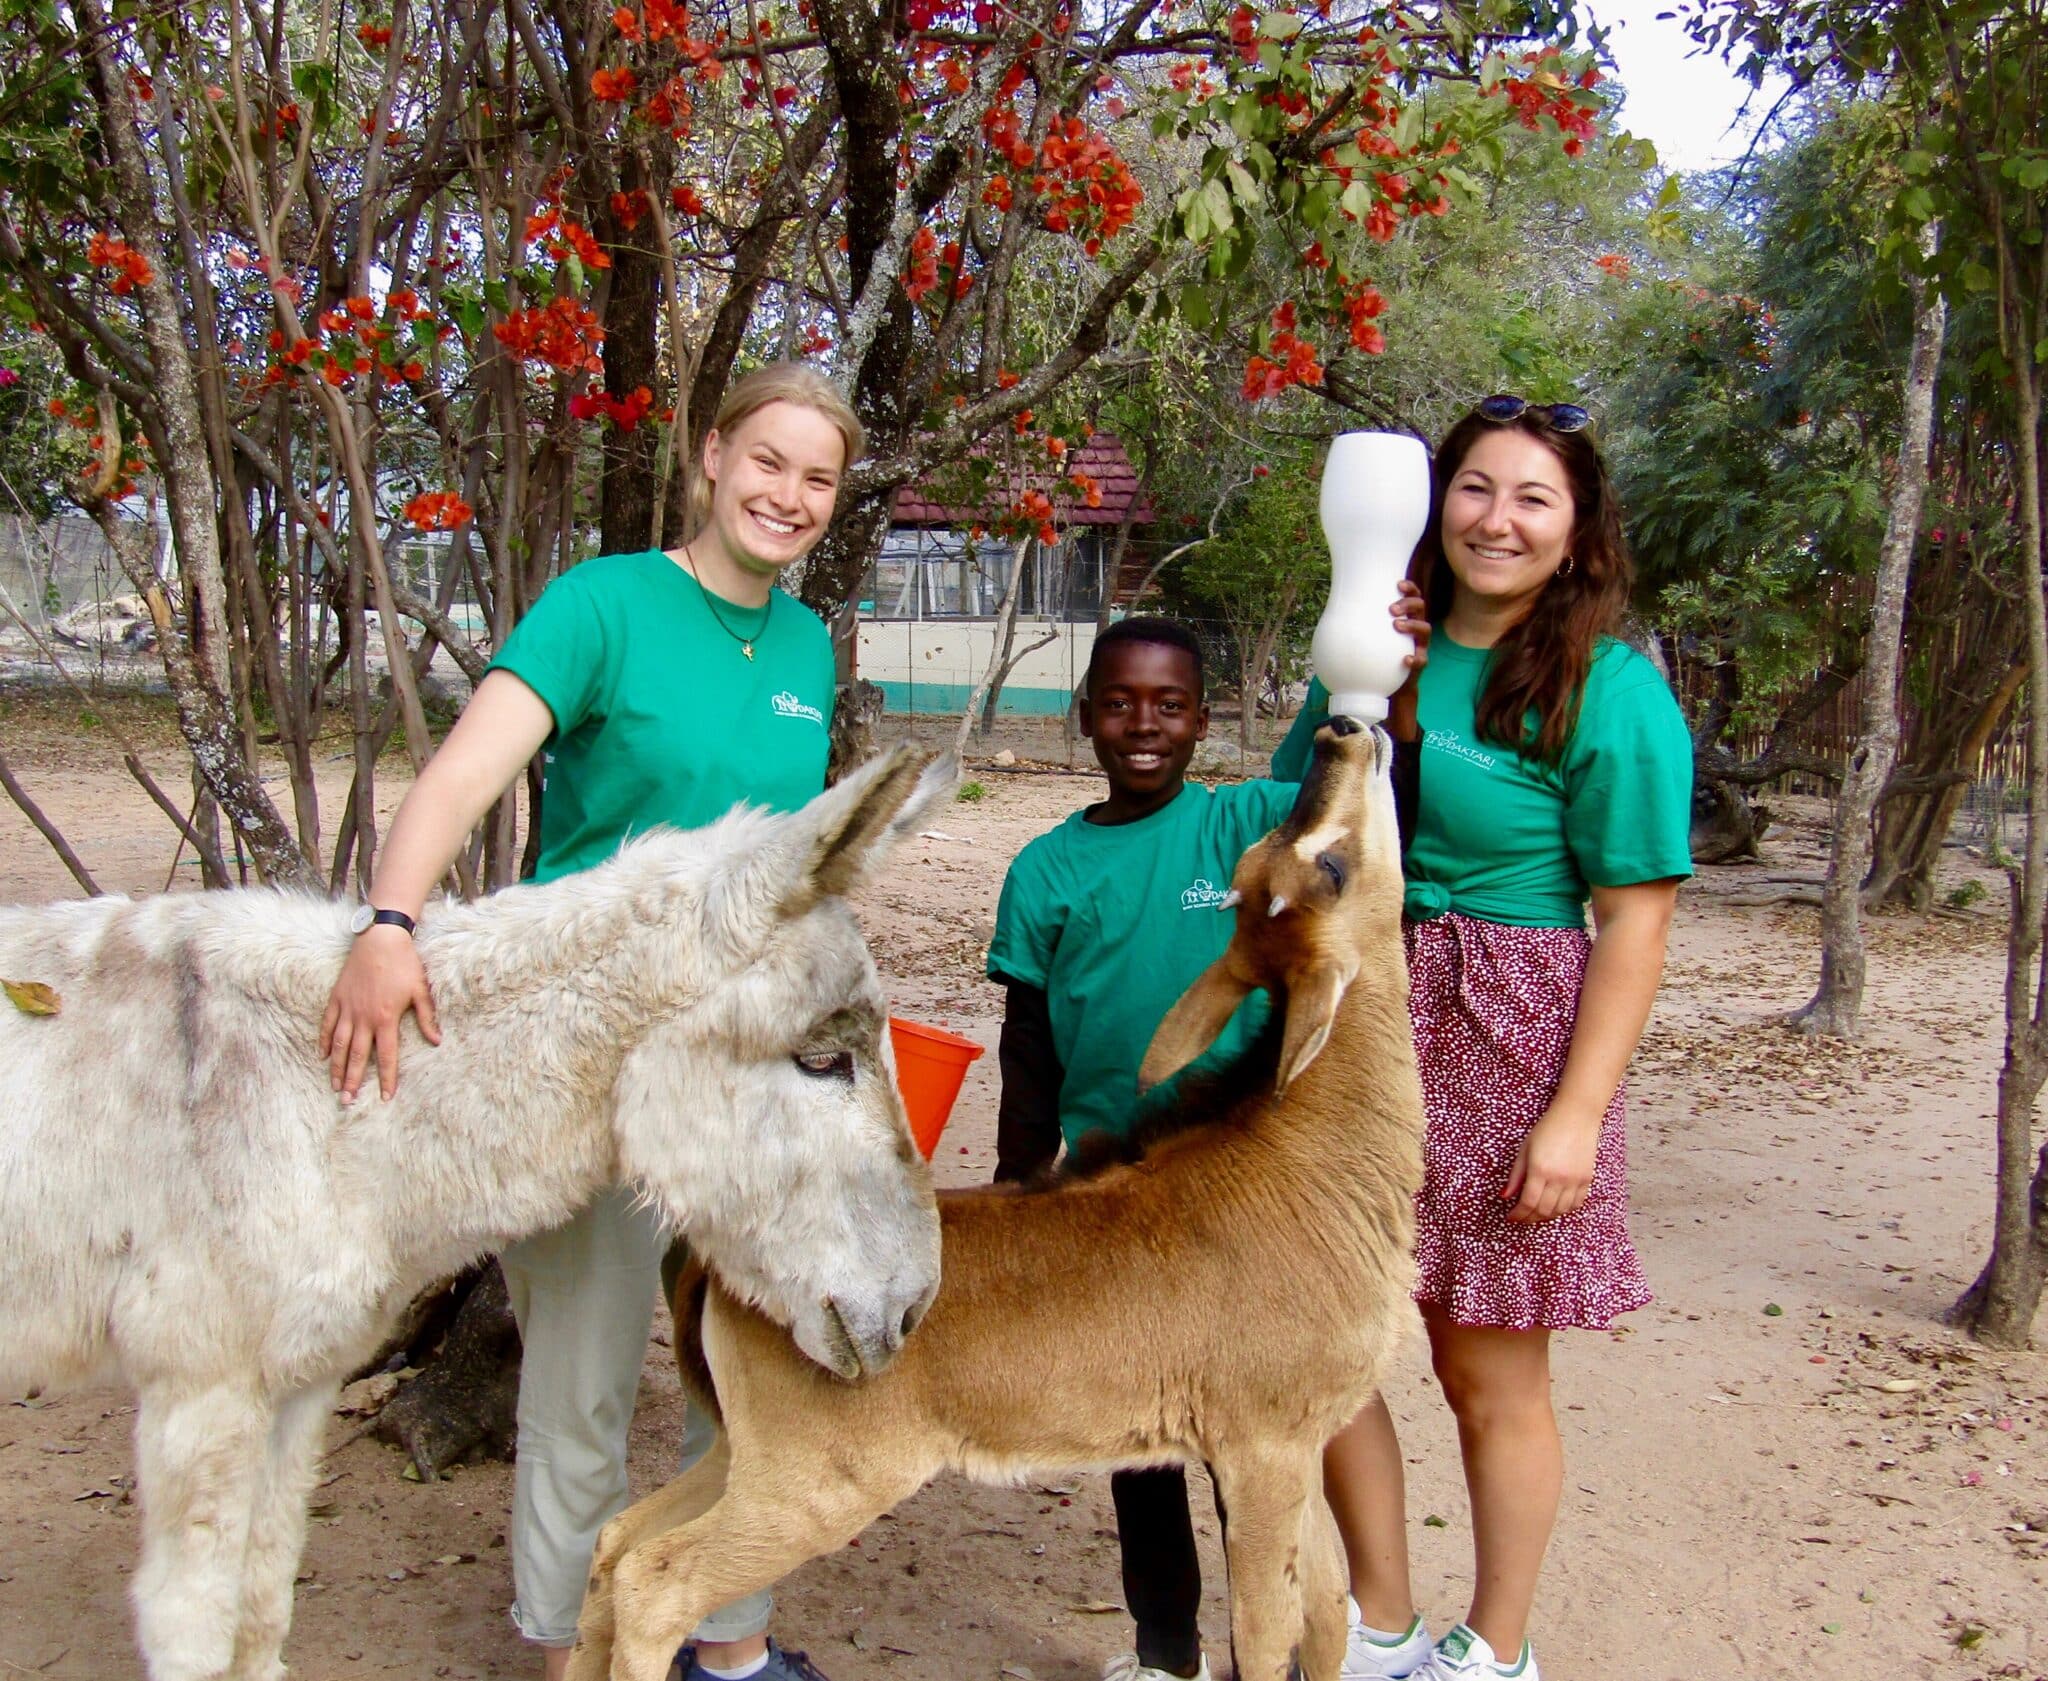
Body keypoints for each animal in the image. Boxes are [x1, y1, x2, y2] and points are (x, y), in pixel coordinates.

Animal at [569, 716, 1417, 1678]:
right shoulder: (1262, 1445)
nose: (1343, 731)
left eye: (1295, 858)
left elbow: (1326, 1605)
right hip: (815, 1483)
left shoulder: (1308, 1441)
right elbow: (1272, 1631)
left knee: (617, 1544)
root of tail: (717, 1272)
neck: (1312, 1158)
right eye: (1325, 863)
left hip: (743, 1458)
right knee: (656, 1581)